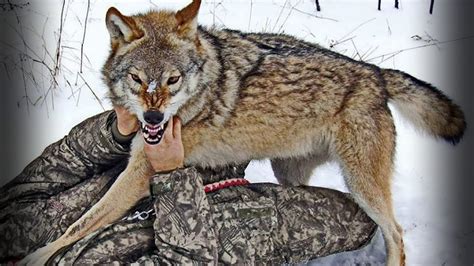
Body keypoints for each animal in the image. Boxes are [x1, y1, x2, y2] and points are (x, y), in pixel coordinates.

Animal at [21, 0, 462, 266]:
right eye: (137, 79)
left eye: (172, 80)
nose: (152, 118)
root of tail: (376, 74)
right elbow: (83, 221)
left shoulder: (142, 171)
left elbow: (81, 224)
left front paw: (36, 257)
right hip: (292, 174)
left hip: (363, 184)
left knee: (397, 234)